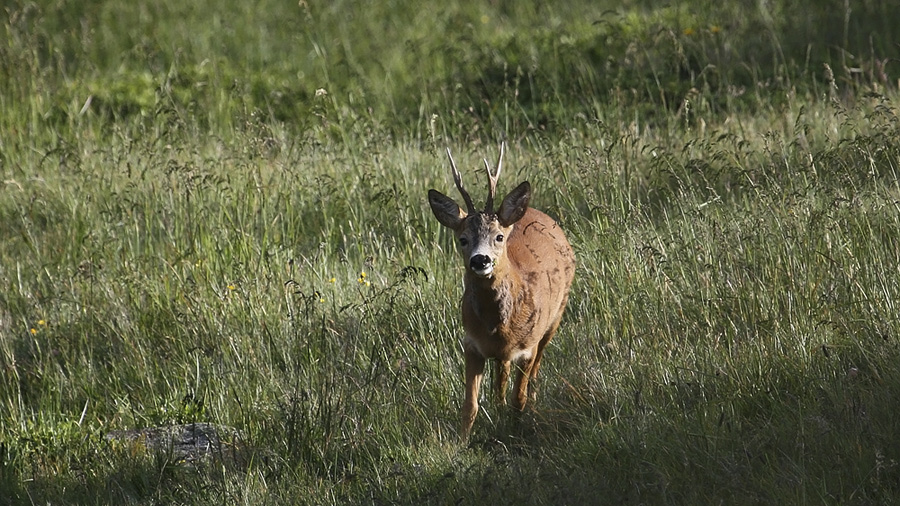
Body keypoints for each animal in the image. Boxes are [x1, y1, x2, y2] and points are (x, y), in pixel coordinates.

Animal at [428, 142, 576, 438]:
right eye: (462, 239)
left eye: (498, 237)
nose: (480, 260)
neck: (498, 325)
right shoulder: (471, 344)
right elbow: (470, 405)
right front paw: (462, 442)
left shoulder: (528, 346)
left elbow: (518, 398)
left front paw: (516, 430)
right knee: (501, 380)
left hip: (555, 318)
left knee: (534, 374)